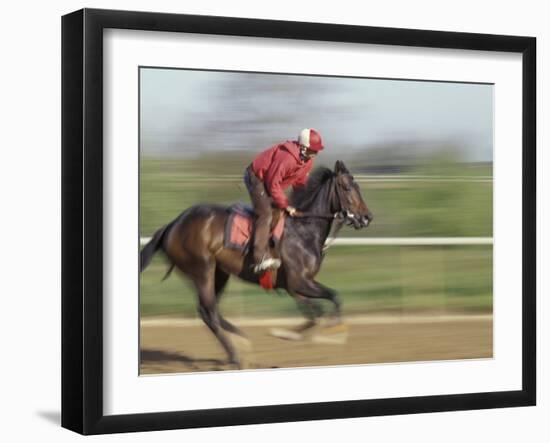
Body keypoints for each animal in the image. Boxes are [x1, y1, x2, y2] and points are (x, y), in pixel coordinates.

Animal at [141, 160, 376, 368]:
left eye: (358, 186)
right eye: (347, 187)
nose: (367, 217)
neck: (304, 230)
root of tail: (173, 224)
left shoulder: (296, 286)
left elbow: (316, 312)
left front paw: (292, 333)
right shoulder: (299, 282)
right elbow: (330, 300)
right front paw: (329, 333)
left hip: (220, 273)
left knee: (208, 310)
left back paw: (241, 341)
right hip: (202, 269)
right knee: (209, 311)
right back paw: (236, 356)